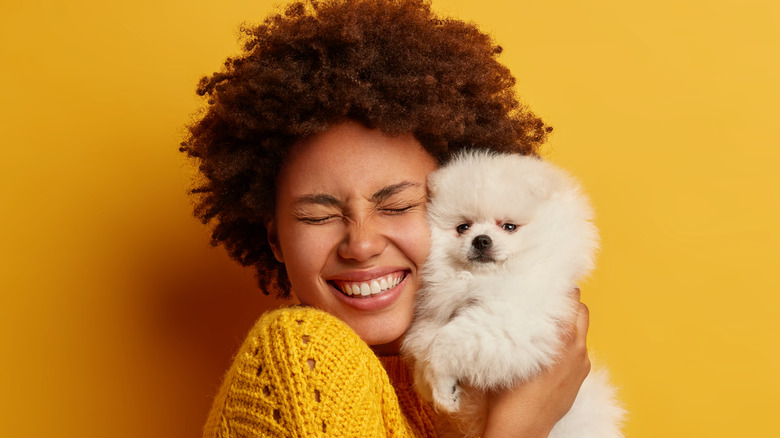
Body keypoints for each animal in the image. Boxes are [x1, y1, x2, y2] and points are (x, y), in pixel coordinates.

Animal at [406, 151, 624, 438]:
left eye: (509, 227)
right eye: (463, 227)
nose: (481, 240)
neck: (482, 279)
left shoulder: (513, 320)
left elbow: (443, 345)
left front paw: (439, 377)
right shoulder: (435, 317)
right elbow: (423, 347)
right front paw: (441, 391)